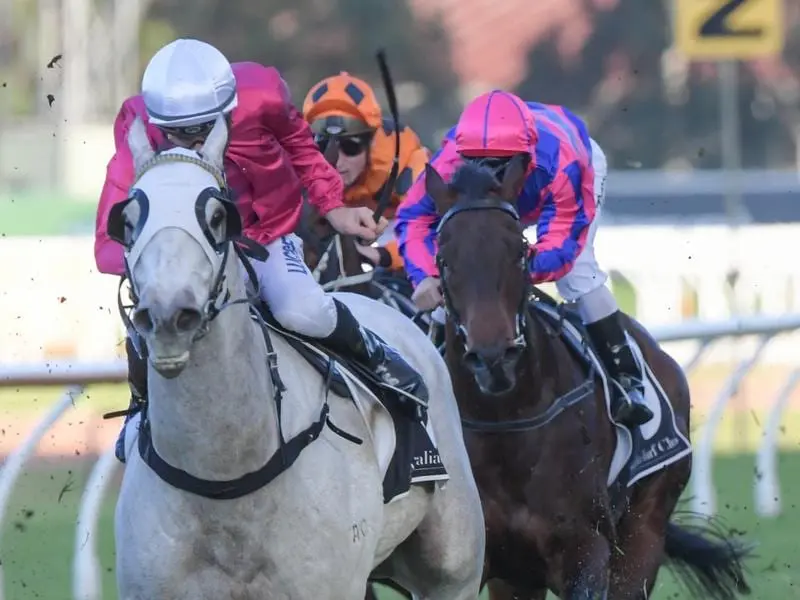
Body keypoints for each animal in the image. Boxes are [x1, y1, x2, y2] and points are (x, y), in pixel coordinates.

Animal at [418, 156, 756, 600]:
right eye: (443, 259)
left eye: (520, 253)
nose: (493, 358)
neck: (506, 421)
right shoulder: (478, 559)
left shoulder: (586, 547)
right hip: (519, 576)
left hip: (644, 534)